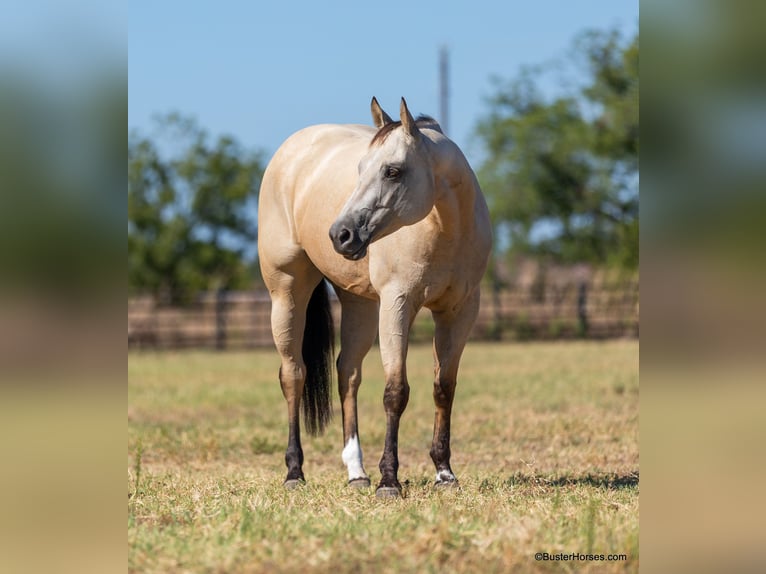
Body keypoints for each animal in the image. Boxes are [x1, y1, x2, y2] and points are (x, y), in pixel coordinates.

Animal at [258, 97, 491, 498]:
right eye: (360, 169)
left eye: (393, 171)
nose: (340, 235)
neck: (447, 228)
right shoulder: (398, 304)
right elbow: (395, 392)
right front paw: (390, 480)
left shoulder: (460, 311)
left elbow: (443, 388)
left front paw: (444, 473)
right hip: (286, 293)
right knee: (293, 375)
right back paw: (295, 473)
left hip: (359, 305)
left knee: (347, 374)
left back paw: (357, 472)